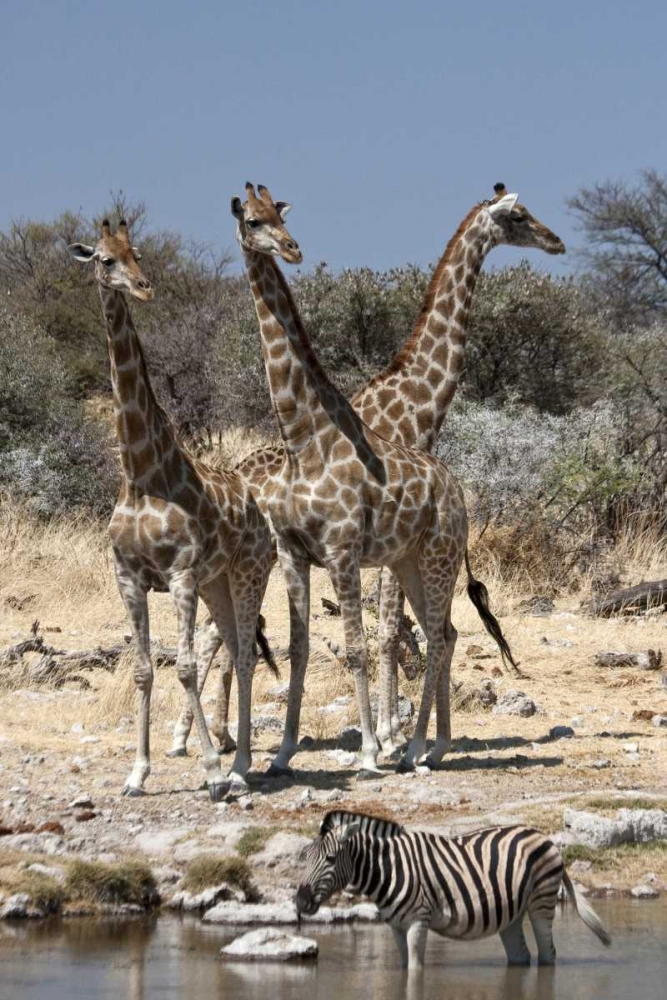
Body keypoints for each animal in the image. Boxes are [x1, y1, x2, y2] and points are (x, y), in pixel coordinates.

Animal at [67, 217, 274, 796]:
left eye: (136, 253)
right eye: (105, 259)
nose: (143, 287)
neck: (141, 475)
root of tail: (260, 515)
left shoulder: (179, 574)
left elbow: (182, 666)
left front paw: (210, 771)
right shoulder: (129, 578)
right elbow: (143, 669)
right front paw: (137, 773)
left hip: (248, 573)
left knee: (244, 654)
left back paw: (240, 766)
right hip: (216, 584)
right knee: (233, 647)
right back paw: (235, 760)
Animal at [171, 186, 564, 756]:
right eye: (518, 215)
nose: (555, 240)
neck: (419, 403)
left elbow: (392, 631)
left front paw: (393, 731)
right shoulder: (371, 549)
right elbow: (388, 631)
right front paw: (388, 732)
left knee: (223, 632)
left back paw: (208, 736)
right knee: (219, 633)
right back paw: (203, 738)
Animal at [296, 812, 612, 968]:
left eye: (330, 859)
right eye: (305, 858)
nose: (300, 901)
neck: (389, 869)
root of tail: (543, 836)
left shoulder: (418, 920)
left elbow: (415, 970)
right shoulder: (395, 926)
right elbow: (403, 967)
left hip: (541, 901)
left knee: (548, 955)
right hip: (511, 913)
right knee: (521, 957)